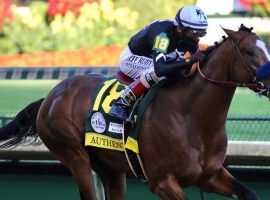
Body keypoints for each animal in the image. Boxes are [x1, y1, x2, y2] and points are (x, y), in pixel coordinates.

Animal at [0, 25, 270, 200]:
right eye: (249, 52)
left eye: (267, 47)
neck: (193, 118)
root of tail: (50, 96)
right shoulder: (162, 182)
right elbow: (159, 66)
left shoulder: (210, 175)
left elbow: (250, 194)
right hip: (74, 155)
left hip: (110, 168)